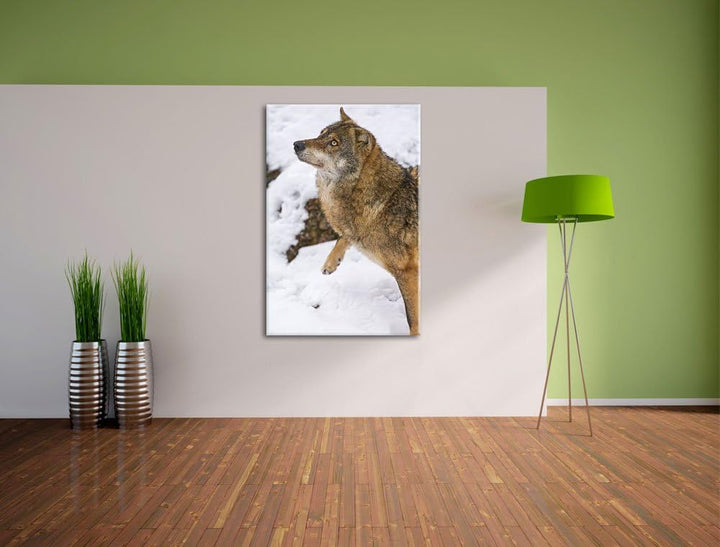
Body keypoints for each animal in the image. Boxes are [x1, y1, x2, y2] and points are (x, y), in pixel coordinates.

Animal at [293, 107, 419, 335]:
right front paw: (331, 262)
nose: (297, 144)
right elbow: (343, 236)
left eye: (334, 143)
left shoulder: (407, 272)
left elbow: (412, 318)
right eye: (321, 134)